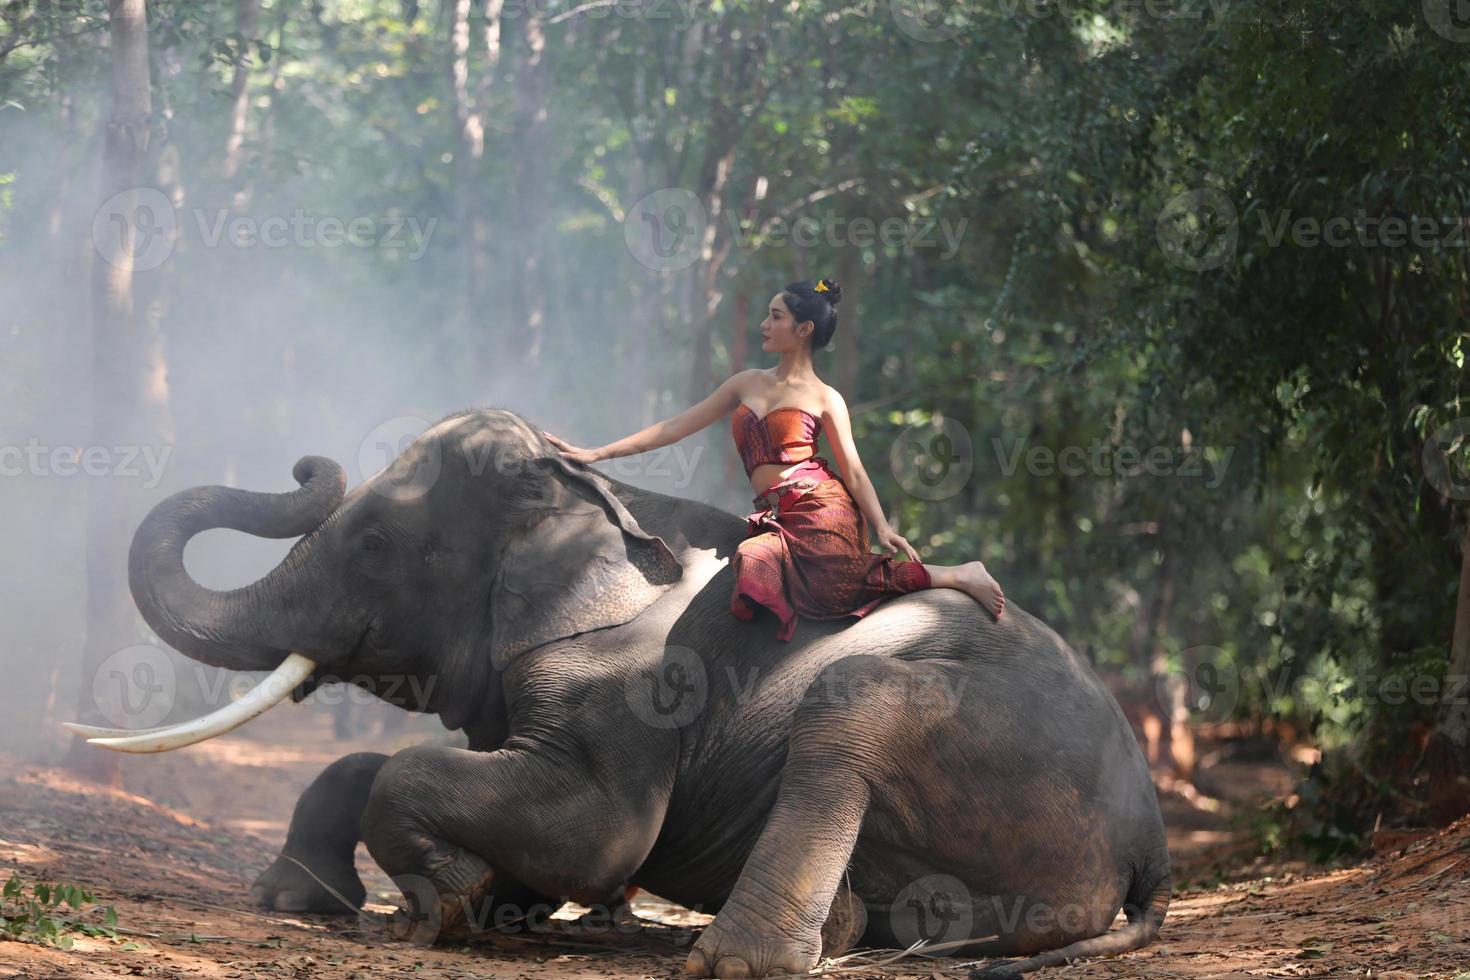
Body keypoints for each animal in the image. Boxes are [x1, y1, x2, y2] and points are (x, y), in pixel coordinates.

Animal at [71, 408, 1170, 980]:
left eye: (378, 544)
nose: (308, 463)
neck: (594, 493)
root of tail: (1150, 834)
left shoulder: (632, 683)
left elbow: (589, 831)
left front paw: (450, 901)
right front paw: (304, 898)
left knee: (850, 703)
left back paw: (735, 960)